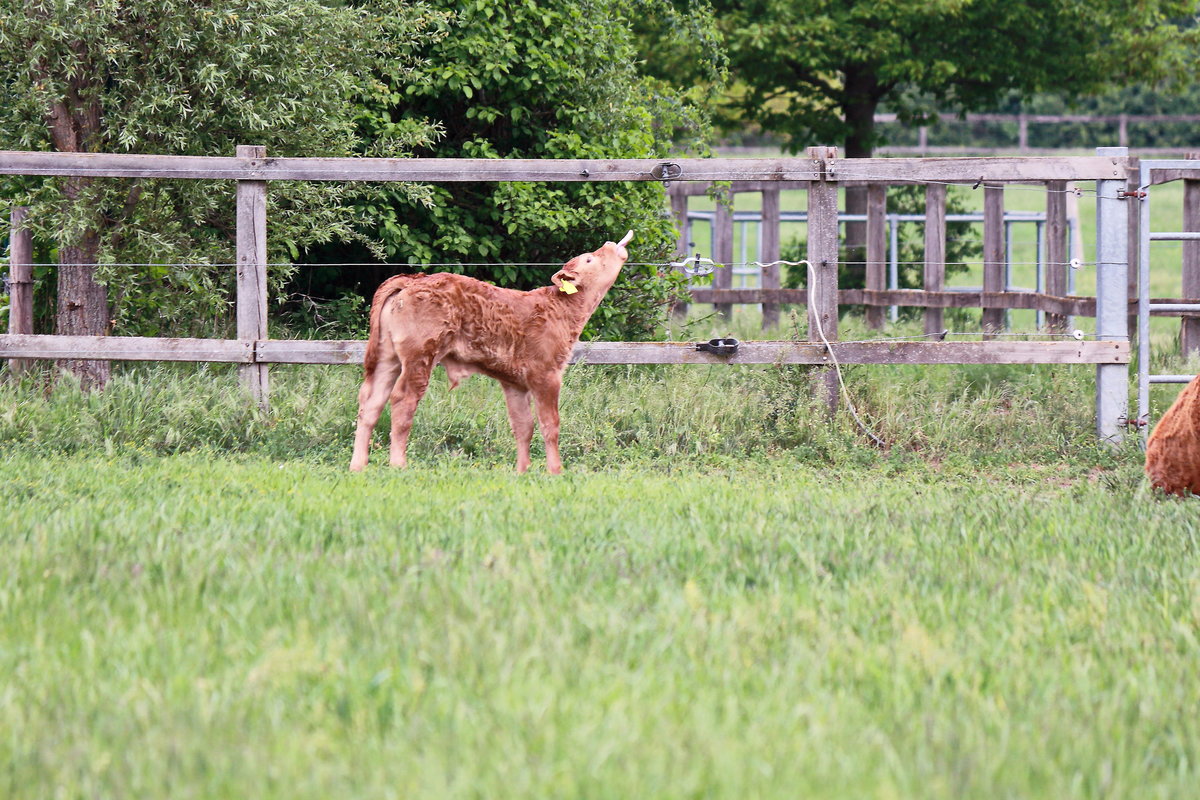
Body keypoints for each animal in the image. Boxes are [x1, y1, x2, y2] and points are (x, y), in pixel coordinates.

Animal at [348, 230, 633, 474]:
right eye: (589, 258)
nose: (610, 243)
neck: (561, 307)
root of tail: (413, 279)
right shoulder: (546, 374)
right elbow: (550, 424)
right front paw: (555, 471)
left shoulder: (515, 382)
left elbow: (523, 426)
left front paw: (522, 471)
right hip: (420, 356)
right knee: (402, 399)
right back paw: (399, 464)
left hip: (387, 357)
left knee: (371, 401)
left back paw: (358, 466)